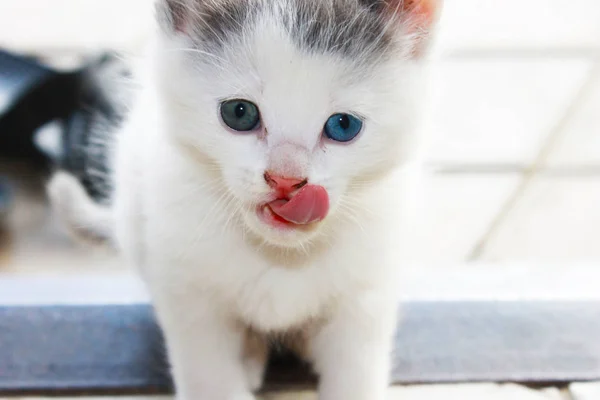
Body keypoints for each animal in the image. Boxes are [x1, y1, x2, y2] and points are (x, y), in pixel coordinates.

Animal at [48, 0, 440, 400]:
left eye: (343, 125)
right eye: (240, 112)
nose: (286, 180)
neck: (280, 257)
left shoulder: (367, 293)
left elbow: (356, 373)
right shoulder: (186, 290)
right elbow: (210, 378)